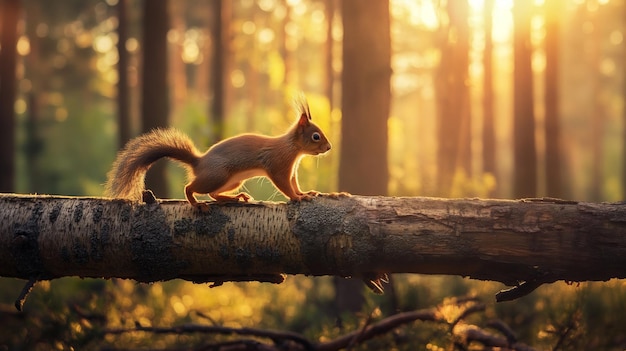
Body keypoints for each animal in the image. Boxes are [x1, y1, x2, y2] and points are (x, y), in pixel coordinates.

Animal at [105, 95, 334, 208]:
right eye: (316, 136)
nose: (329, 147)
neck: (292, 148)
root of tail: (198, 162)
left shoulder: (291, 170)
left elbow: (294, 184)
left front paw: (305, 193)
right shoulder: (278, 165)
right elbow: (284, 186)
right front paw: (297, 198)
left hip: (232, 181)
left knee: (214, 194)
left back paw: (233, 198)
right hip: (217, 175)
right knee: (192, 187)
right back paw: (196, 204)